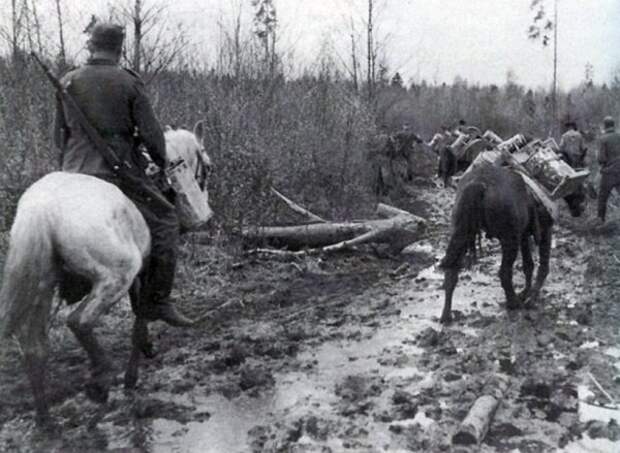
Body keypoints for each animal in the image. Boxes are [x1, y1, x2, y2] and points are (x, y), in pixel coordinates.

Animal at [0, 119, 213, 424]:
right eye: (208, 166)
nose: (206, 211)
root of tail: (41, 207)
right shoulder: (143, 273)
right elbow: (140, 320)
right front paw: (131, 377)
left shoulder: (139, 277)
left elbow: (139, 317)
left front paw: (145, 351)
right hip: (114, 278)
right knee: (78, 321)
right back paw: (100, 382)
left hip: (42, 287)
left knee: (34, 346)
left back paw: (46, 421)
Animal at [438, 164, 584, 324]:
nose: (581, 208)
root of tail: (479, 183)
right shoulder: (545, 230)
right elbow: (543, 267)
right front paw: (531, 298)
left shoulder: (524, 236)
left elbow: (528, 265)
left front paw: (526, 292)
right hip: (509, 241)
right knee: (504, 273)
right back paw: (513, 303)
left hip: (461, 234)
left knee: (452, 273)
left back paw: (446, 315)